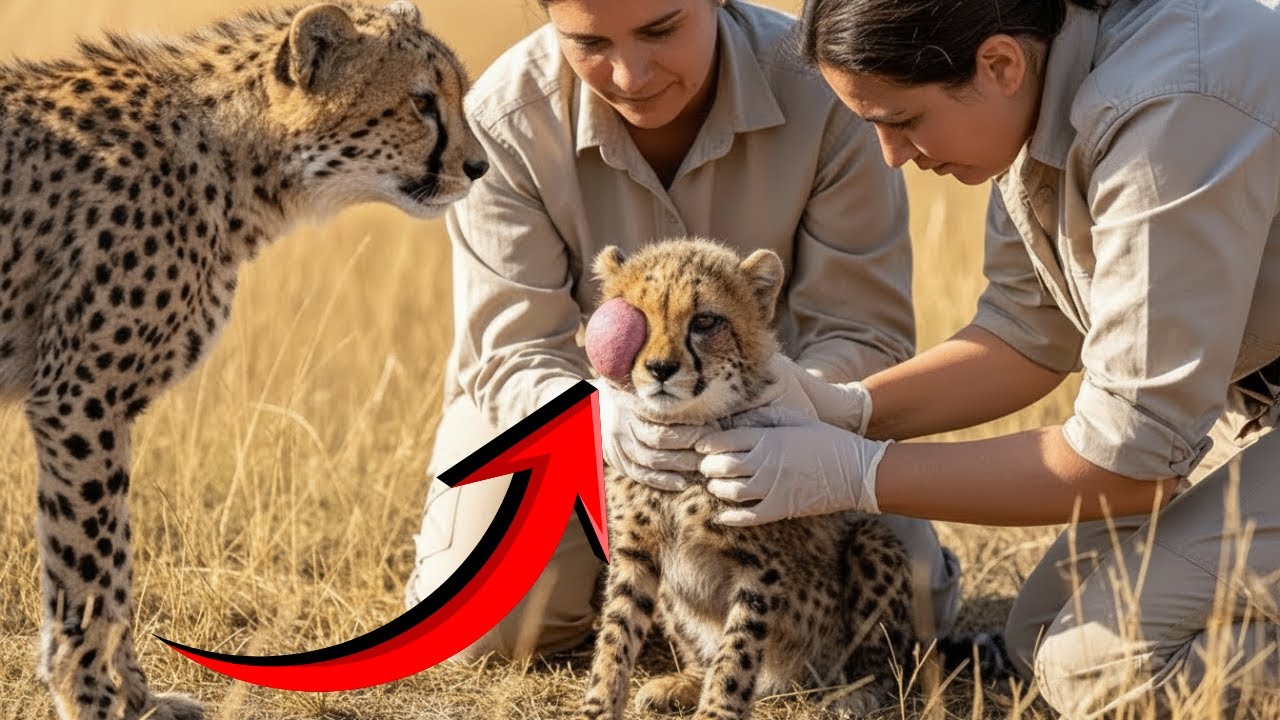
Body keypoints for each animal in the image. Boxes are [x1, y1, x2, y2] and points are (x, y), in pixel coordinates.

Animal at [0, 2, 487, 718]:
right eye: (422, 101)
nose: (479, 167)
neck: (233, 160)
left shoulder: (91, 406)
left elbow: (115, 562)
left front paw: (136, 696)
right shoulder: (80, 398)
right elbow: (89, 560)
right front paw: (89, 697)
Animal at [576, 237, 916, 720]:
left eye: (705, 321)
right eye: (636, 318)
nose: (660, 368)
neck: (690, 432)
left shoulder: (759, 565)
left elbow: (736, 653)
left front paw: (717, 711)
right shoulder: (635, 553)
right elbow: (615, 636)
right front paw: (598, 706)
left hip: (871, 545)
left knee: (883, 660)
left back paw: (856, 694)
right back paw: (682, 683)